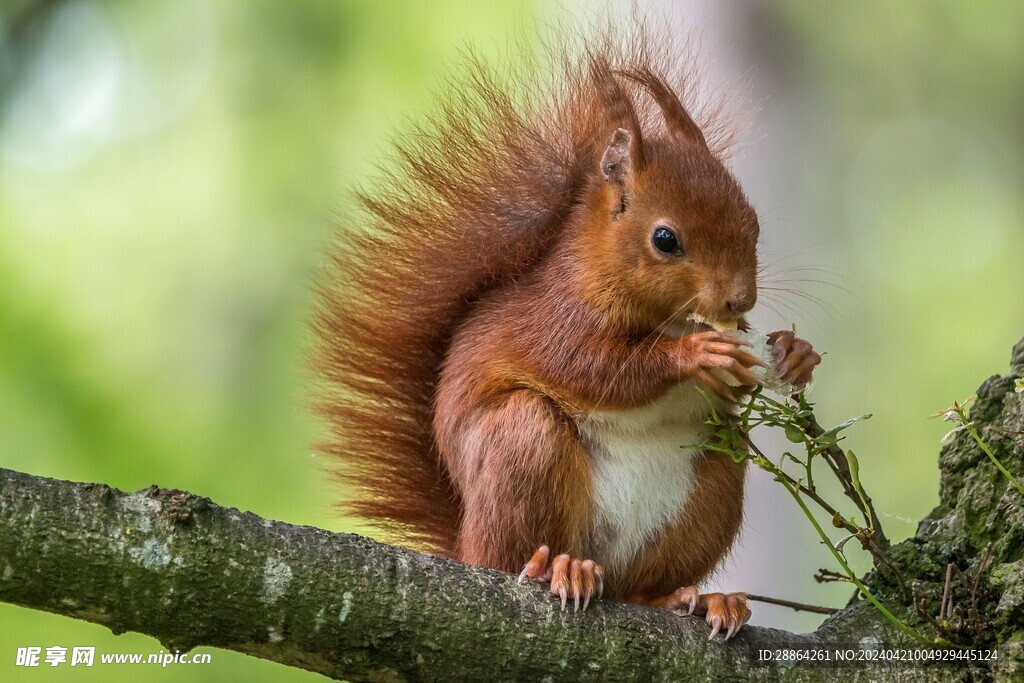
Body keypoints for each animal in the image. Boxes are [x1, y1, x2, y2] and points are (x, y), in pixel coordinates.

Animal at [315, 26, 819, 643]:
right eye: (666, 239)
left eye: (753, 221)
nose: (738, 301)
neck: (662, 315)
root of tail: (465, 546)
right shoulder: (555, 319)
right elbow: (596, 368)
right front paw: (696, 352)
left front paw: (792, 354)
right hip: (521, 447)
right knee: (514, 546)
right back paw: (556, 568)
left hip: (711, 486)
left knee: (644, 584)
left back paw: (697, 600)